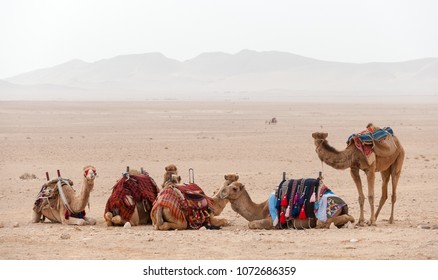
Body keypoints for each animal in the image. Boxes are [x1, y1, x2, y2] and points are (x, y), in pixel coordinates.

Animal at [217, 182, 354, 230]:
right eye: (228, 184)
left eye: (234, 188)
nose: (222, 192)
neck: (261, 209)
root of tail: (343, 203)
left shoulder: (273, 219)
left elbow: (251, 224)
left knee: (324, 223)